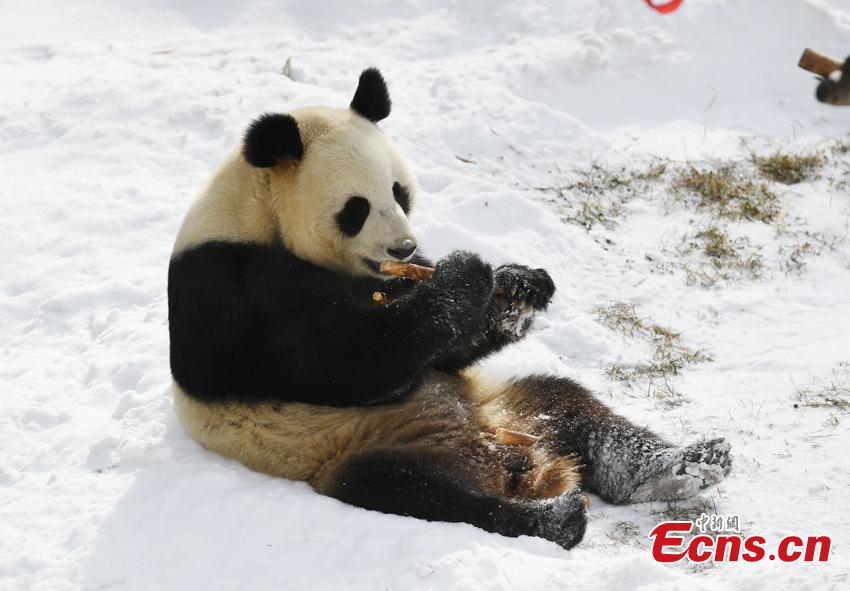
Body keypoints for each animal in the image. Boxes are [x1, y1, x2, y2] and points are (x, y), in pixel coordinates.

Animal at [168, 68, 732, 550]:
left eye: (399, 192)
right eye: (356, 208)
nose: (403, 248)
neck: (257, 211)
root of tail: (512, 458)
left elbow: (443, 355)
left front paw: (518, 286)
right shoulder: (227, 291)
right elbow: (344, 365)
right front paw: (466, 276)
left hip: (511, 405)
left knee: (575, 408)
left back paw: (683, 465)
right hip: (349, 447)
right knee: (413, 491)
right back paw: (553, 519)